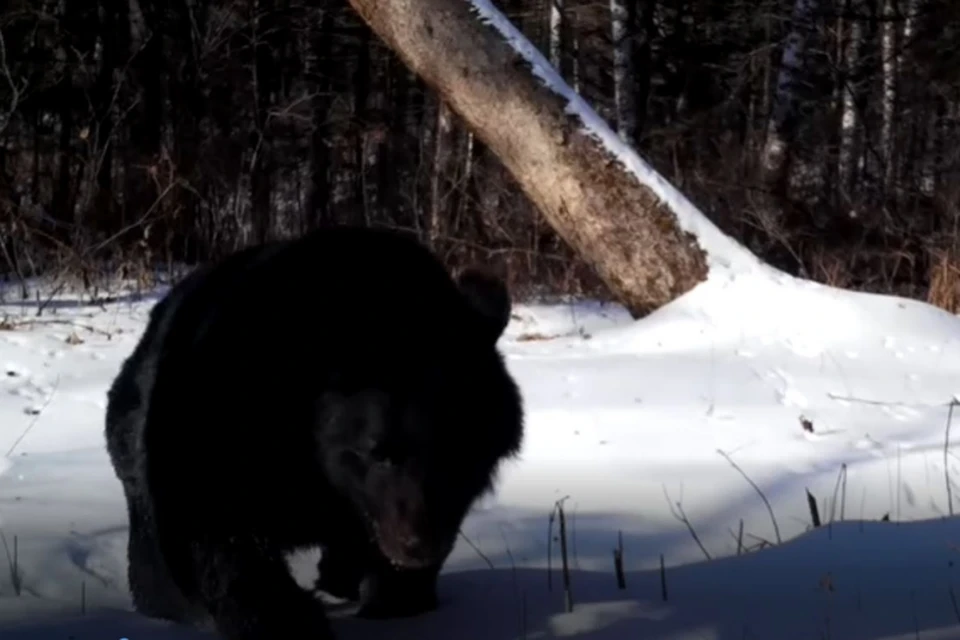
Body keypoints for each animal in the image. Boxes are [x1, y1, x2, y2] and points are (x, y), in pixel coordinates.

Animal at [107, 226, 524, 640]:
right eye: (378, 452)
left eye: (461, 452)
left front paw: (397, 597)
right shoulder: (218, 418)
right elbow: (216, 530)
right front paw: (287, 620)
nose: (418, 546)